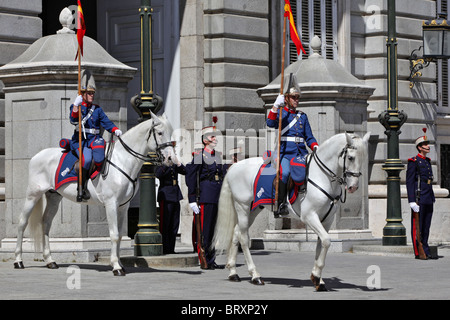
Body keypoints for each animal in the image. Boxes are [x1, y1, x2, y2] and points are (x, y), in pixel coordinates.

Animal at [13, 112, 175, 276]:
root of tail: (36, 156)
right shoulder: (111, 204)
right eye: (160, 133)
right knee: (22, 223)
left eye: (170, 132)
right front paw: (116, 266)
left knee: (46, 222)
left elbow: (119, 235)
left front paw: (119, 264)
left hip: (54, 197)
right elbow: (114, 235)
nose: (170, 159)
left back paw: (49, 260)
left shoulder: (123, 206)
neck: (122, 161)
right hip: (33, 195)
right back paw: (18, 260)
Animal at [213, 132, 370, 290]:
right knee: (244, 239)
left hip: (253, 209)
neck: (321, 176)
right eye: (350, 157)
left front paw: (317, 279)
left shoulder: (326, 220)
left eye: (363, 157)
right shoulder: (309, 216)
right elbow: (326, 241)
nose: (353, 187)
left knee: (236, 233)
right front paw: (317, 277)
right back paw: (255, 275)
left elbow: (321, 245)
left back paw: (233, 272)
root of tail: (234, 166)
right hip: (243, 207)